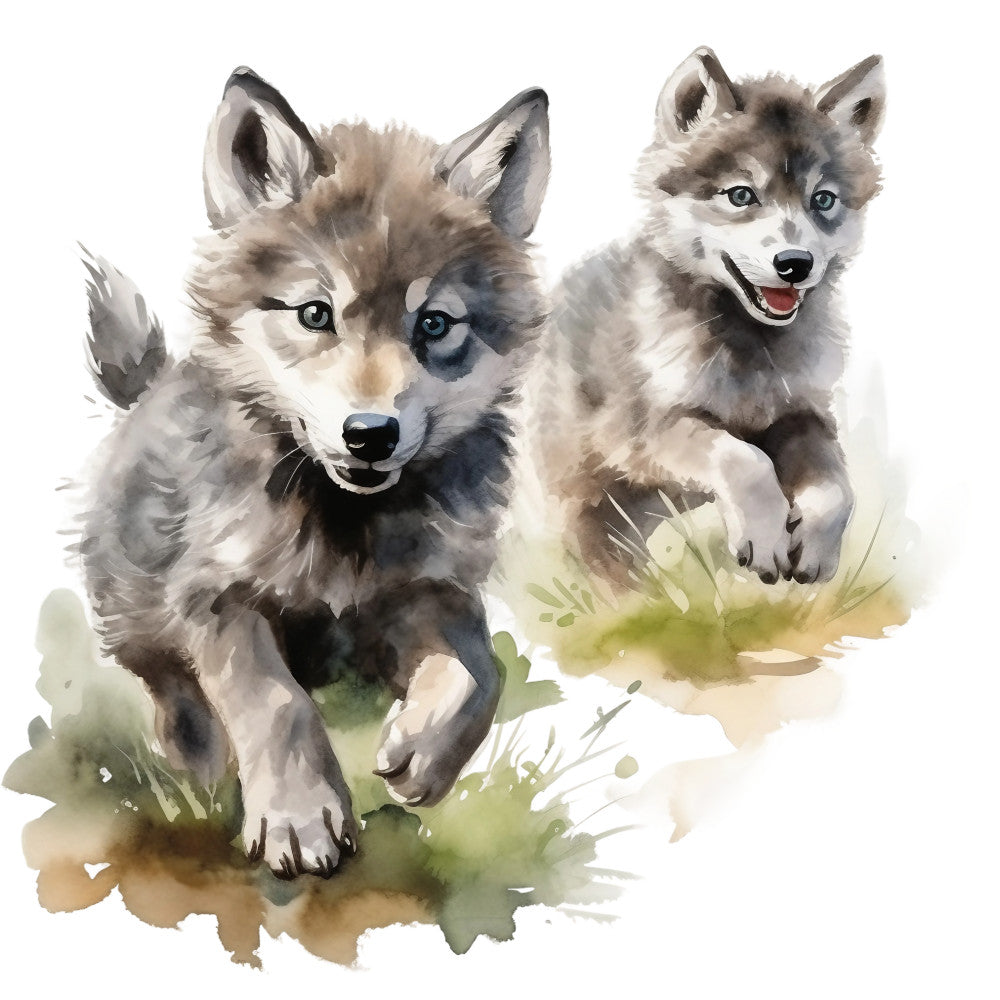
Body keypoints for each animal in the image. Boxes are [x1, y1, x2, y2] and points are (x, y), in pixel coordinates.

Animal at [77, 68, 549, 877]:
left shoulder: (428, 594)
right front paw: (299, 817)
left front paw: (423, 753)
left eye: (434, 324)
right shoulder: (217, 597)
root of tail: (151, 388)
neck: (342, 529)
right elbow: (275, 701)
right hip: (133, 600)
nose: (370, 435)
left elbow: (479, 673)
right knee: (161, 678)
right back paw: (195, 752)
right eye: (315, 314)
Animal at [534, 48, 884, 585]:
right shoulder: (648, 431)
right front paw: (764, 539)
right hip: (594, 507)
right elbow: (743, 457)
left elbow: (836, 489)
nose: (795, 263)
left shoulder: (802, 414)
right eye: (740, 195)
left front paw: (815, 549)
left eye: (822, 200)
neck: (750, 350)